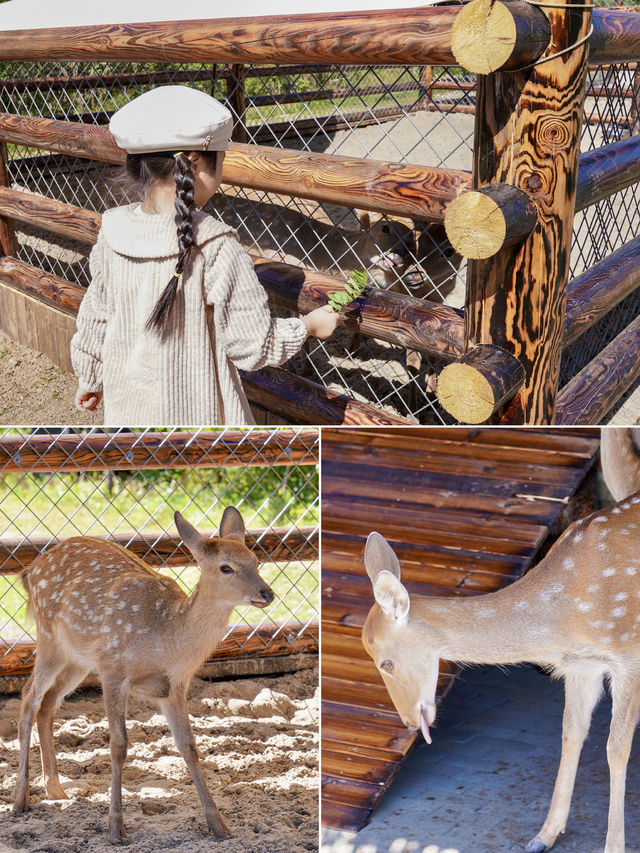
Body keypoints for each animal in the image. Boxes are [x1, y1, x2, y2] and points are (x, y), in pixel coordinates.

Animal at [12, 506, 272, 840]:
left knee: (48, 704)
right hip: (49, 639)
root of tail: (29, 571)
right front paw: (116, 826)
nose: (266, 593)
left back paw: (56, 791)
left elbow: (189, 746)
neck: (165, 641)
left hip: (78, 659)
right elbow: (119, 745)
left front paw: (219, 826)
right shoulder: (113, 669)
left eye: (255, 559)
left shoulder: (174, 687)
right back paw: (21, 799)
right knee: (29, 697)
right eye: (226, 567)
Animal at [362, 490, 640, 848]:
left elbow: (616, 749)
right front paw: (543, 836)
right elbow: (571, 733)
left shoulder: (629, 654)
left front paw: (614, 846)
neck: (568, 616)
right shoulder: (582, 666)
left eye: (385, 661)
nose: (409, 721)